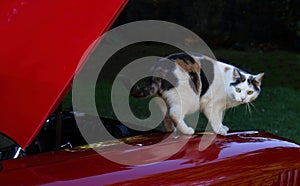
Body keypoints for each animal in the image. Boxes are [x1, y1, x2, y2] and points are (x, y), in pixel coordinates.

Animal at [129, 52, 262, 135]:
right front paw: (219, 129)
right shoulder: (212, 105)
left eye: (250, 92)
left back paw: (172, 131)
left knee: (166, 116)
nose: (243, 98)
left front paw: (222, 126)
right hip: (188, 97)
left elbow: (219, 117)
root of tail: (160, 67)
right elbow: (215, 118)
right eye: (238, 90)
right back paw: (187, 131)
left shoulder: (219, 107)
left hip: (163, 99)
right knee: (174, 113)